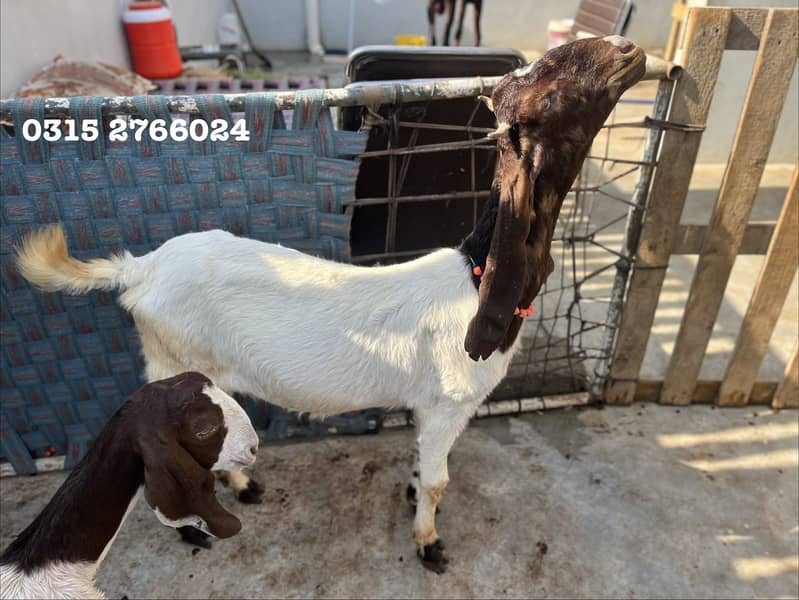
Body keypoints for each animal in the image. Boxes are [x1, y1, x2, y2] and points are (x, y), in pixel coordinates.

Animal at [15, 36, 646, 573]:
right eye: (555, 90)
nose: (627, 50)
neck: (475, 278)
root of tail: (141, 267)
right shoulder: (448, 404)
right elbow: (440, 481)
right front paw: (428, 542)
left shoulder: (430, 409)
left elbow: (423, 468)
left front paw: (412, 493)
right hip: (171, 363)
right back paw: (196, 530)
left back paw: (243, 488)